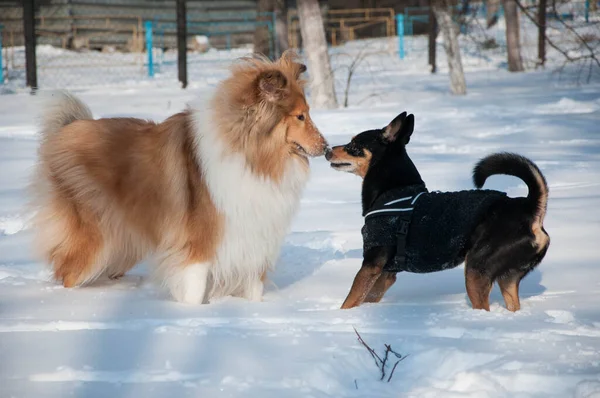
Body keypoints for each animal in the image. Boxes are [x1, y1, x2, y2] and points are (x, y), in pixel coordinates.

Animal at [32, 52, 328, 304]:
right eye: (300, 116)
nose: (326, 148)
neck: (250, 156)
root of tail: (68, 128)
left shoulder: (253, 243)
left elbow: (253, 289)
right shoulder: (198, 248)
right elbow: (195, 292)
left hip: (125, 242)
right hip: (96, 240)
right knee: (68, 274)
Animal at [326, 112, 552, 310]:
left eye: (354, 145)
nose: (328, 150)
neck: (392, 192)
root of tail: (531, 209)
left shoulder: (371, 264)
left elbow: (349, 300)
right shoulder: (387, 273)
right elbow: (366, 298)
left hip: (476, 270)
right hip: (508, 277)